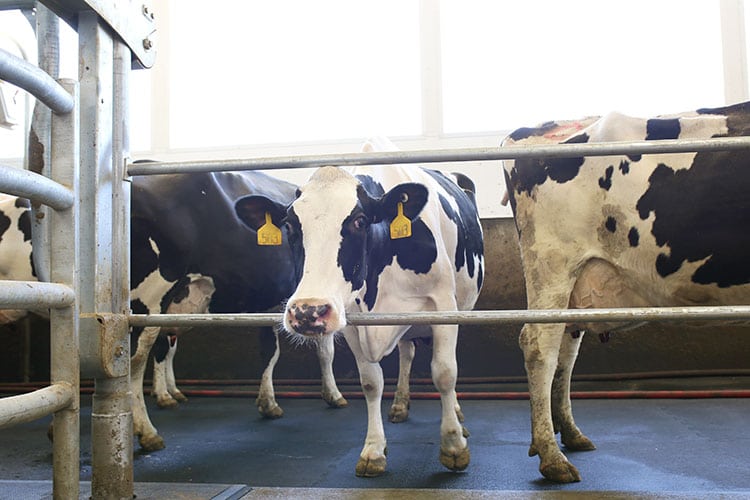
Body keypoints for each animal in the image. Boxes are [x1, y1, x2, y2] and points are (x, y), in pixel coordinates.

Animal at [236, 144, 488, 476]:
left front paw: (454, 445)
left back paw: (456, 413)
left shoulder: (442, 306)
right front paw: (373, 450)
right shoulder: (353, 320)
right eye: (290, 225)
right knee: (407, 353)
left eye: (359, 221)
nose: (307, 311)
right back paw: (400, 403)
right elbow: (371, 382)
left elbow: (445, 373)